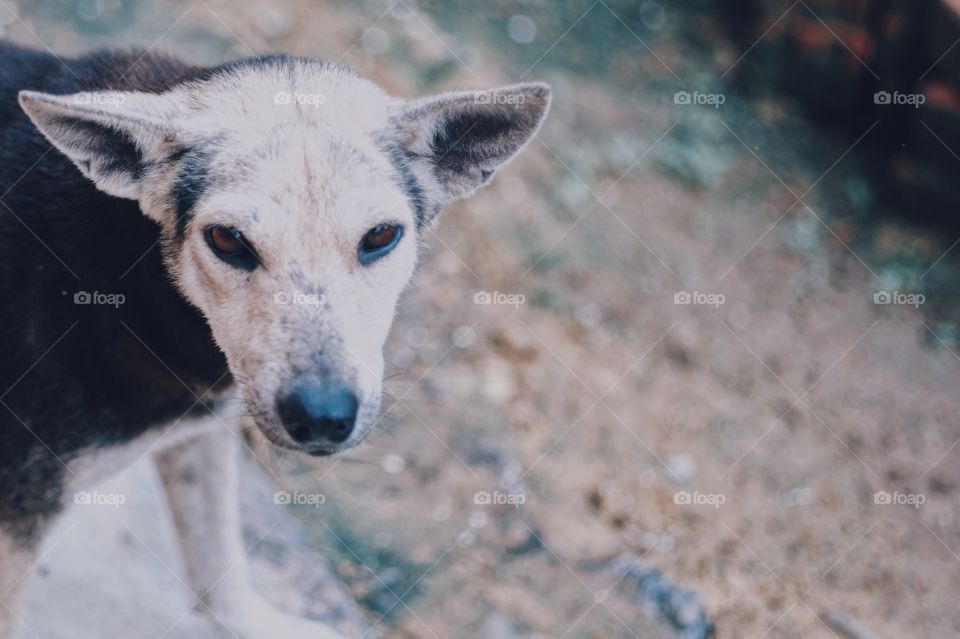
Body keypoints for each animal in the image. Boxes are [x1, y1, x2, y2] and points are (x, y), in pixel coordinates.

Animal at [0, 41, 552, 639]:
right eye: (226, 239)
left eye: (381, 235)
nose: (322, 418)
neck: (137, 281)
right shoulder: (18, 509)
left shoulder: (200, 430)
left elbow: (217, 565)